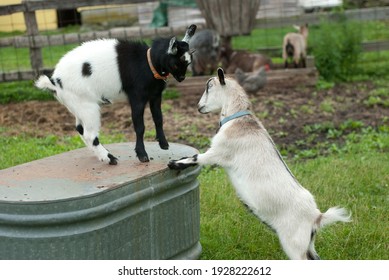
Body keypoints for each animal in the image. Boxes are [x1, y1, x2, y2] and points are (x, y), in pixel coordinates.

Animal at [35, 25, 197, 164]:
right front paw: (142, 155)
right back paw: (110, 158)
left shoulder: (155, 95)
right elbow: (140, 126)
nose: (182, 78)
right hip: (87, 106)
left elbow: (159, 118)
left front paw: (163, 144)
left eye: (188, 63)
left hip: (77, 105)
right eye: (176, 63)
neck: (147, 63)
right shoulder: (137, 97)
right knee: (89, 134)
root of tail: (55, 81)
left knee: (80, 129)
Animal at [168, 68, 350, 260]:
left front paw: (175, 163)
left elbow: (197, 158)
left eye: (209, 87)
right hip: (308, 244)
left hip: (294, 244)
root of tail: (316, 217)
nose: (199, 107)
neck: (236, 119)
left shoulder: (218, 152)